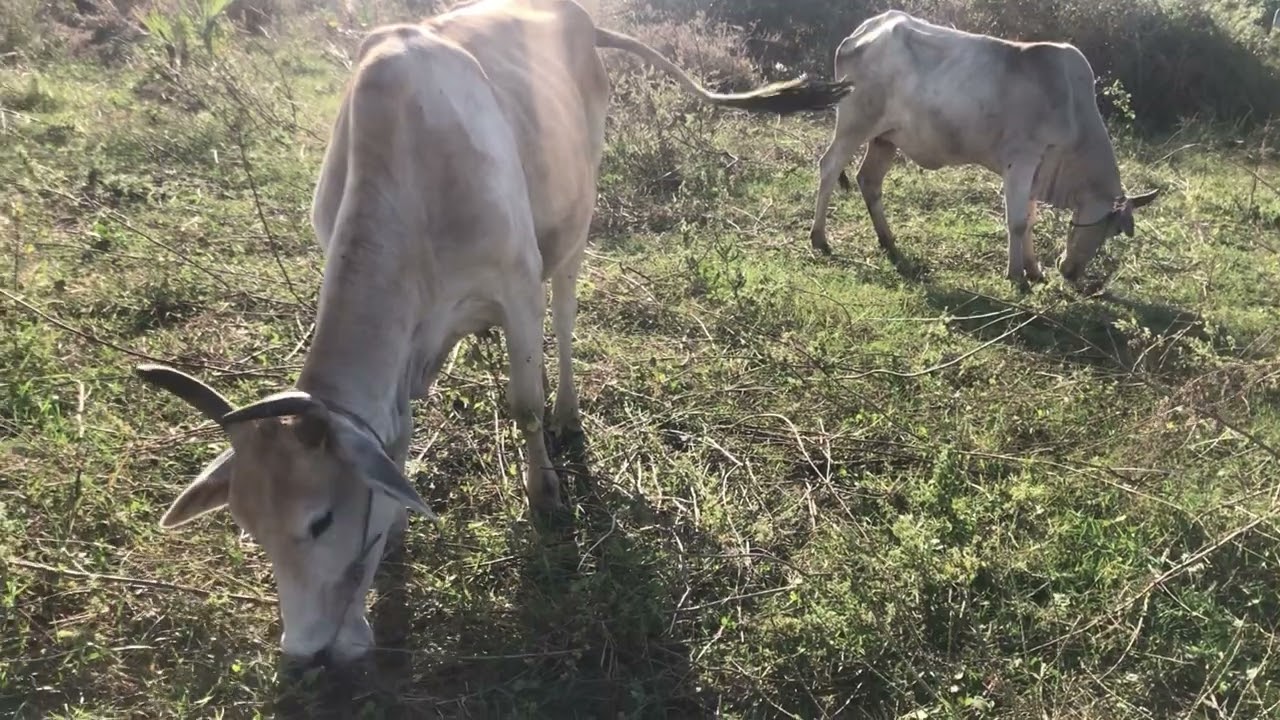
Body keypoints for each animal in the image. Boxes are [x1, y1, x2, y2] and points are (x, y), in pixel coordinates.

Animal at [134, 0, 849, 666]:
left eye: (320, 520)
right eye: (247, 524)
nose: (304, 649)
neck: (411, 168)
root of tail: (581, 20)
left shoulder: (515, 285)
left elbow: (524, 403)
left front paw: (546, 494)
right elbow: (396, 435)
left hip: (575, 219)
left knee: (566, 313)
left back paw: (568, 415)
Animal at [807, 10, 1159, 287]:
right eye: (1111, 229)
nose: (1071, 272)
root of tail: (860, 33)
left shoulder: (1036, 171)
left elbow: (1029, 218)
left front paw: (1034, 270)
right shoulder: (1021, 161)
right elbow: (1017, 222)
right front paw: (1016, 276)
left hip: (885, 138)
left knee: (869, 181)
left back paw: (888, 241)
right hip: (855, 123)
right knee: (829, 166)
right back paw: (820, 238)